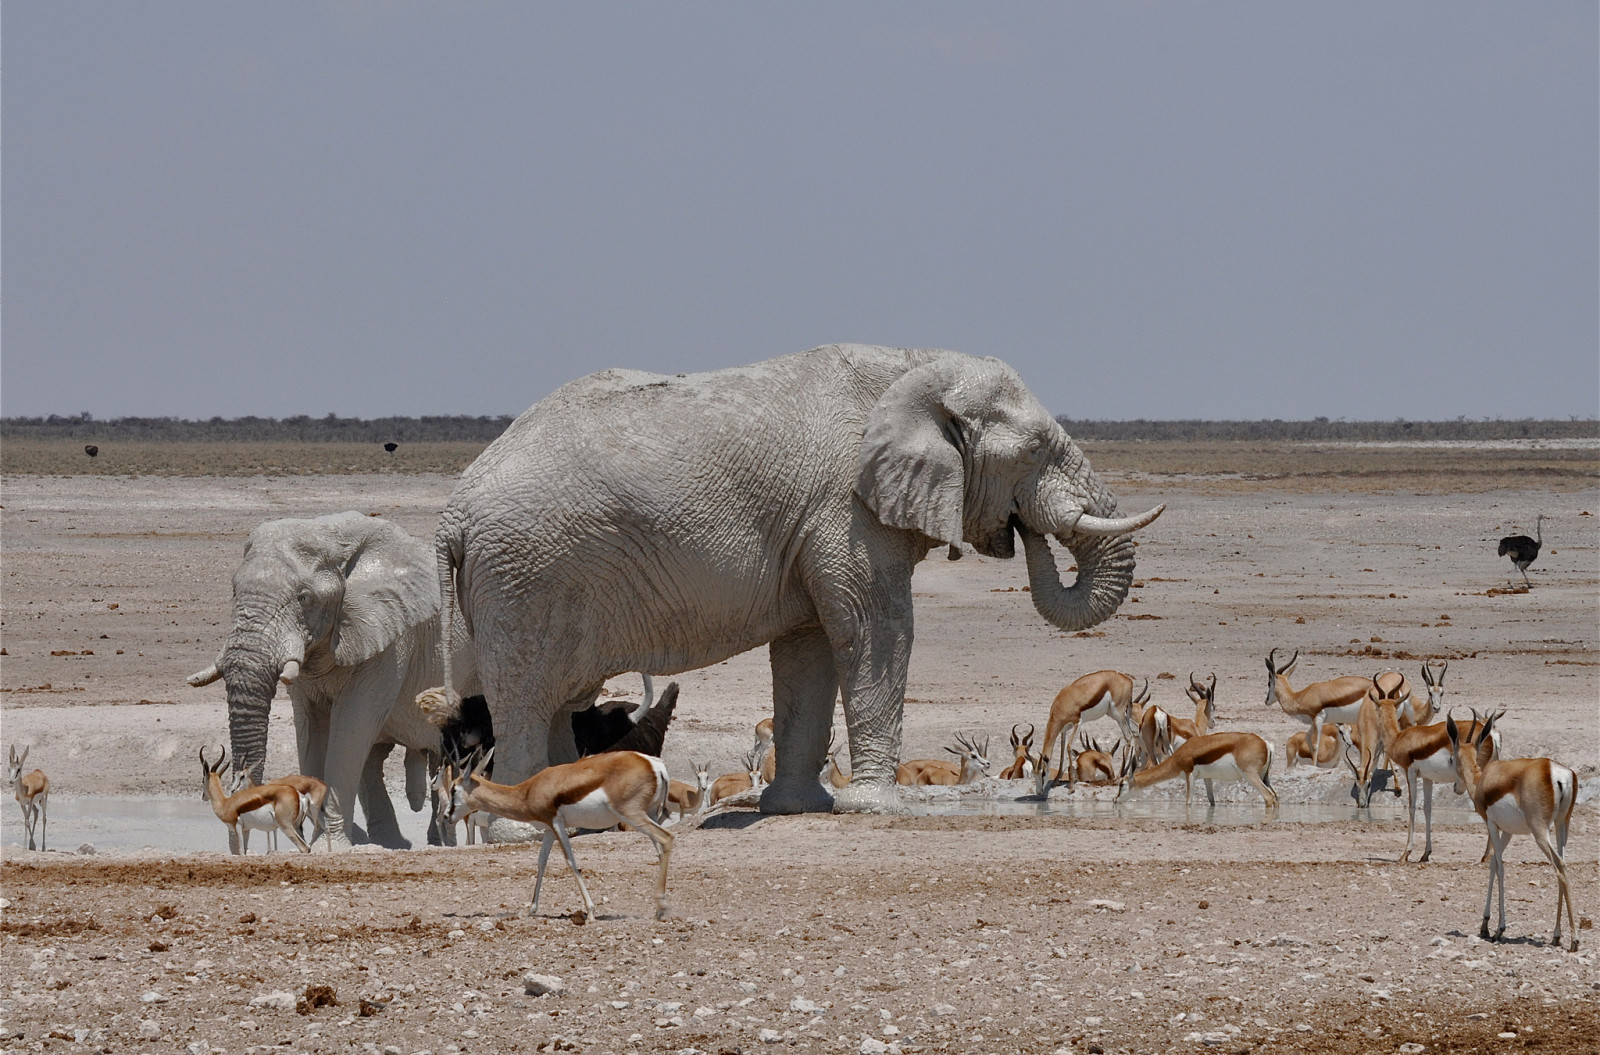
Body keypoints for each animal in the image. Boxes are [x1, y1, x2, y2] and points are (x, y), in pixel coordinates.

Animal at [188, 512, 473, 851]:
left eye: (304, 597)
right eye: (233, 590)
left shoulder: (390, 639)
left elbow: (350, 728)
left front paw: (334, 845)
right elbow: (311, 730)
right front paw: (320, 839)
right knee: (375, 760)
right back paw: (390, 843)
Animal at [438, 344, 1164, 816]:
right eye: (1036, 450)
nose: (1023, 529)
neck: (914, 365)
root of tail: (453, 513)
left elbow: (808, 650)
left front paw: (798, 806)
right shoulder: (845, 510)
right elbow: (875, 631)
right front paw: (877, 807)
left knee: (559, 698)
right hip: (523, 577)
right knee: (527, 697)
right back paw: (519, 824)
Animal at [441, 746, 678, 922]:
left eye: (453, 789)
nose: (446, 816)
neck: (527, 792)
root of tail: (653, 764)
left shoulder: (557, 824)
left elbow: (570, 861)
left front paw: (590, 912)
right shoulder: (548, 829)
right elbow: (541, 862)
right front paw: (530, 909)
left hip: (633, 814)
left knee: (666, 838)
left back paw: (664, 907)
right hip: (649, 814)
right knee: (659, 849)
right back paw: (659, 909)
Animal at [1113, 730, 1273, 813]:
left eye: (1121, 784)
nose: (1114, 799)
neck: (1180, 755)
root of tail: (1266, 744)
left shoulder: (1189, 774)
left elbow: (1188, 801)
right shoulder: (1207, 777)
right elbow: (1211, 800)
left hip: (1250, 776)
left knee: (1268, 797)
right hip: (1264, 777)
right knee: (1275, 796)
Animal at [1446, 714, 1580, 954]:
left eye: (1451, 759)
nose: (1456, 788)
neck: (1483, 781)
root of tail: (1555, 771)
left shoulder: (1491, 824)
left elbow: (1500, 867)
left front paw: (1499, 929)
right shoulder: (1507, 831)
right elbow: (1492, 863)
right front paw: (1484, 925)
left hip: (1540, 831)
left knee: (1559, 866)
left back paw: (1574, 939)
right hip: (1562, 825)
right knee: (1562, 865)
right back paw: (1556, 936)